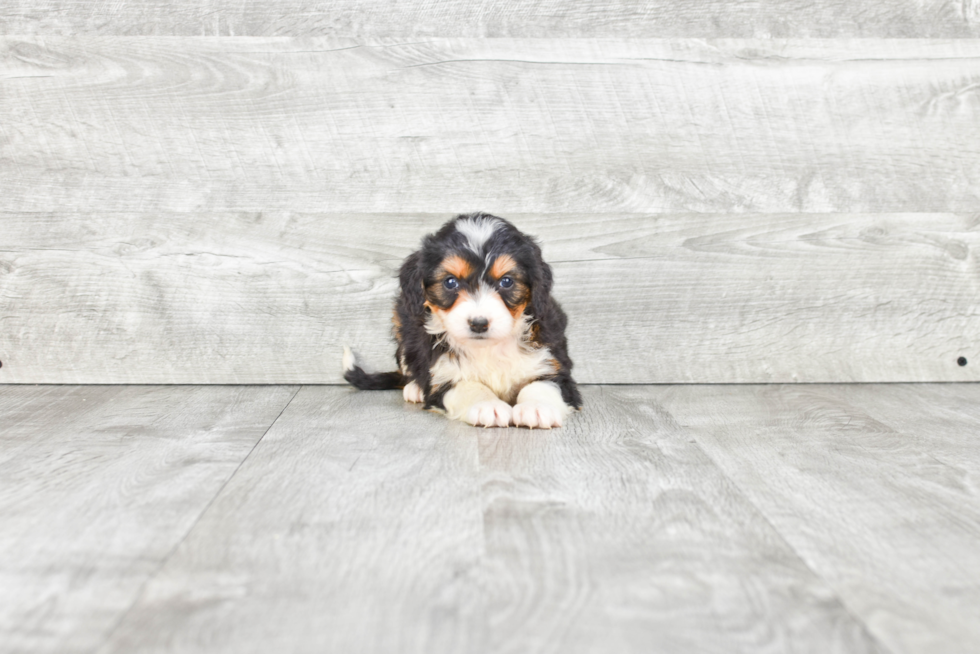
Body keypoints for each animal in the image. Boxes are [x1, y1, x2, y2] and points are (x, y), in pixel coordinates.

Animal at [342, 211, 580, 430]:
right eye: (450, 282)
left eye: (506, 281)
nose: (478, 324)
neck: (488, 348)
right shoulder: (441, 374)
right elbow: (467, 386)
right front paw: (487, 406)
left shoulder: (552, 361)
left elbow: (543, 384)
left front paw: (536, 407)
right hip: (402, 321)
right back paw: (415, 388)